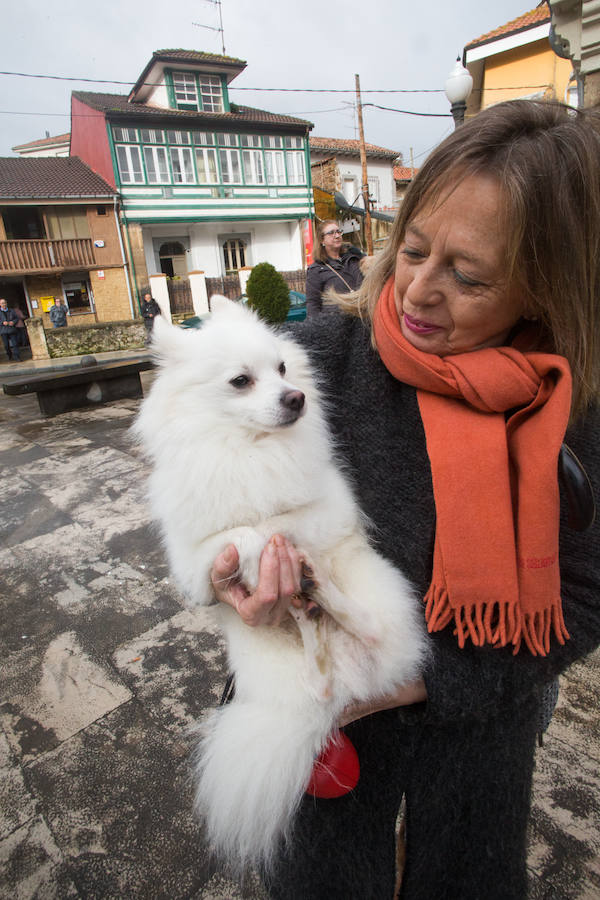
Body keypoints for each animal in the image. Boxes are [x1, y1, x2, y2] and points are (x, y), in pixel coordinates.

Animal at [135, 300, 426, 872]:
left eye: (285, 370)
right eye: (241, 380)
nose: (297, 397)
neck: (247, 449)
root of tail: (351, 690)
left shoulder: (329, 509)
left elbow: (281, 519)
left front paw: (278, 546)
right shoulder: (195, 561)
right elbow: (240, 534)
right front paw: (261, 556)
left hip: (382, 600)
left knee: (372, 627)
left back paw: (319, 590)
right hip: (298, 677)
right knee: (321, 674)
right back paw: (309, 609)